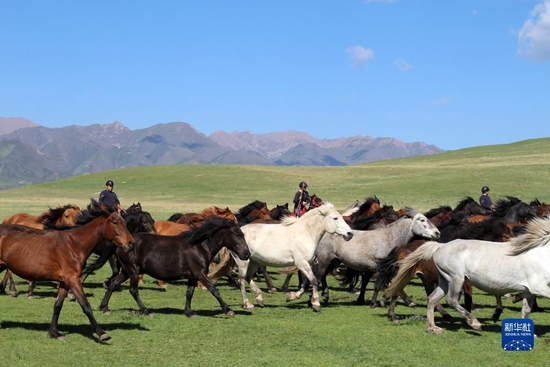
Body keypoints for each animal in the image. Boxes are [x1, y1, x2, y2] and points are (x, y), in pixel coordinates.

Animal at [0, 200, 135, 340]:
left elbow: (58, 305)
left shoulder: (64, 281)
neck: (74, 244)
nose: (131, 243)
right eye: (115, 222)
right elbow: (85, 305)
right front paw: (101, 333)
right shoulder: (73, 279)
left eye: (124, 223)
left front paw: (54, 332)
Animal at [83, 217, 251, 318]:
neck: (199, 246)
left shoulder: (192, 276)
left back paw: (105, 308)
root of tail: (124, 243)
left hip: (126, 271)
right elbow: (214, 289)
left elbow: (189, 293)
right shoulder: (200, 273)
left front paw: (189, 312)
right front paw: (228, 310)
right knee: (133, 290)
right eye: (237, 234)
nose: (247, 253)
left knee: (112, 284)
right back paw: (146, 311)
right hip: (133, 271)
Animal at [386, 217, 550, 334]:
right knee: (451, 300)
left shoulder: (529, 290)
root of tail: (441, 246)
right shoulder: (539, 287)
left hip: (444, 281)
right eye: (505, 235)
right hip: (456, 278)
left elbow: (526, 310)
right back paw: (474, 323)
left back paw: (433, 328)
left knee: (432, 299)